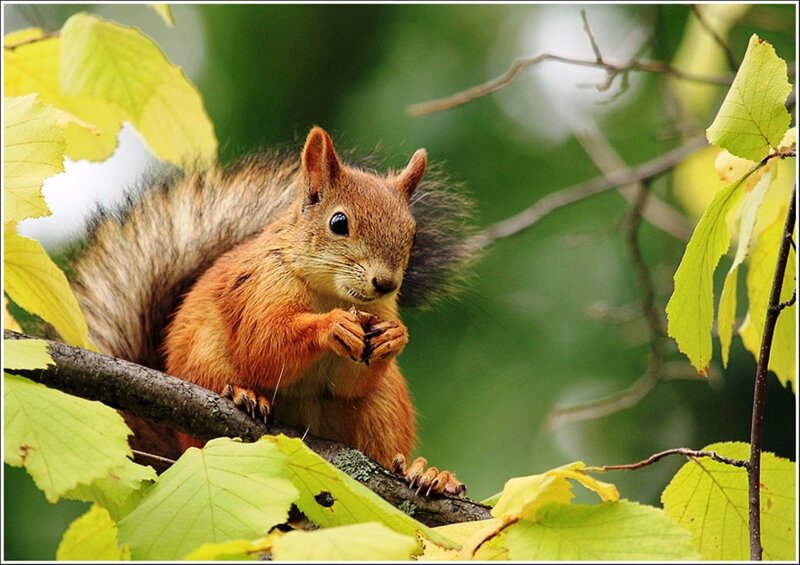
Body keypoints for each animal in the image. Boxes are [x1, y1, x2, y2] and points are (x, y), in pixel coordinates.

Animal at [69, 126, 478, 496]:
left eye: (413, 234)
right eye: (339, 223)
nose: (386, 283)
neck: (330, 293)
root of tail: (176, 454)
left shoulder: (382, 312)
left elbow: (349, 384)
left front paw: (395, 336)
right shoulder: (260, 288)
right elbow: (263, 347)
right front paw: (331, 326)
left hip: (386, 403)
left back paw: (426, 474)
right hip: (203, 361)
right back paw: (242, 396)